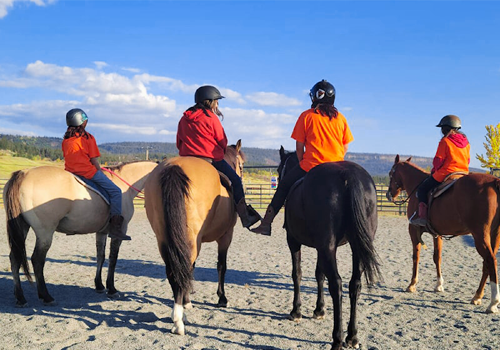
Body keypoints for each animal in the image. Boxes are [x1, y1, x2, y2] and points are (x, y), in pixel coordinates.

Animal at [3, 161, 156, 306]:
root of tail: (24, 174)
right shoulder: (120, 231)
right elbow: (113, 259)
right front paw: (111, 289)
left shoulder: (101, 232)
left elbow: (100, 257)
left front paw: (99, 285)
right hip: (45, 232)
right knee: (37, 260)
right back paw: (46, 296)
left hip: (22, 227)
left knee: (15, 258)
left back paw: (20, 298)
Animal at [144, 139, 245, 334]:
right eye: (242, 166)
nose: (241, 173)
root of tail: (174, 167)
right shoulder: (226, 236)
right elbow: (222, 266)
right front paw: (222, 298)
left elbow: (190, 268)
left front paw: (188, 300)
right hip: (192, 239)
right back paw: (178, 321)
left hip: (166, 239)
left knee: (175, 270)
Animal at [280, 147, 380, 350]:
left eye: (280, 168)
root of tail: (348, 174)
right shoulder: (322, 248)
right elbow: (319, 274)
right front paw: (319, 309)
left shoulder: (293, 241)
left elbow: (297, 274)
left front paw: (296, 311)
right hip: (353, 246)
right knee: (354, 284)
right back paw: (352, 336)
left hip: (327, 246)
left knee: (337, 284)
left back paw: (337, 340)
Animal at [386, 154, 500, 314]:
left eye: (391, 173)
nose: (388, 194)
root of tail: (494, 182)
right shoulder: (437, 234)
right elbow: (437, 257)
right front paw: (439, 285)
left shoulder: (413, 230)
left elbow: (416, 257)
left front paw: (412, 284)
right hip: (494, 234)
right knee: (487, 263)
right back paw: (477, 296)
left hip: (480, 236)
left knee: (491, 260)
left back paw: (493, 302)